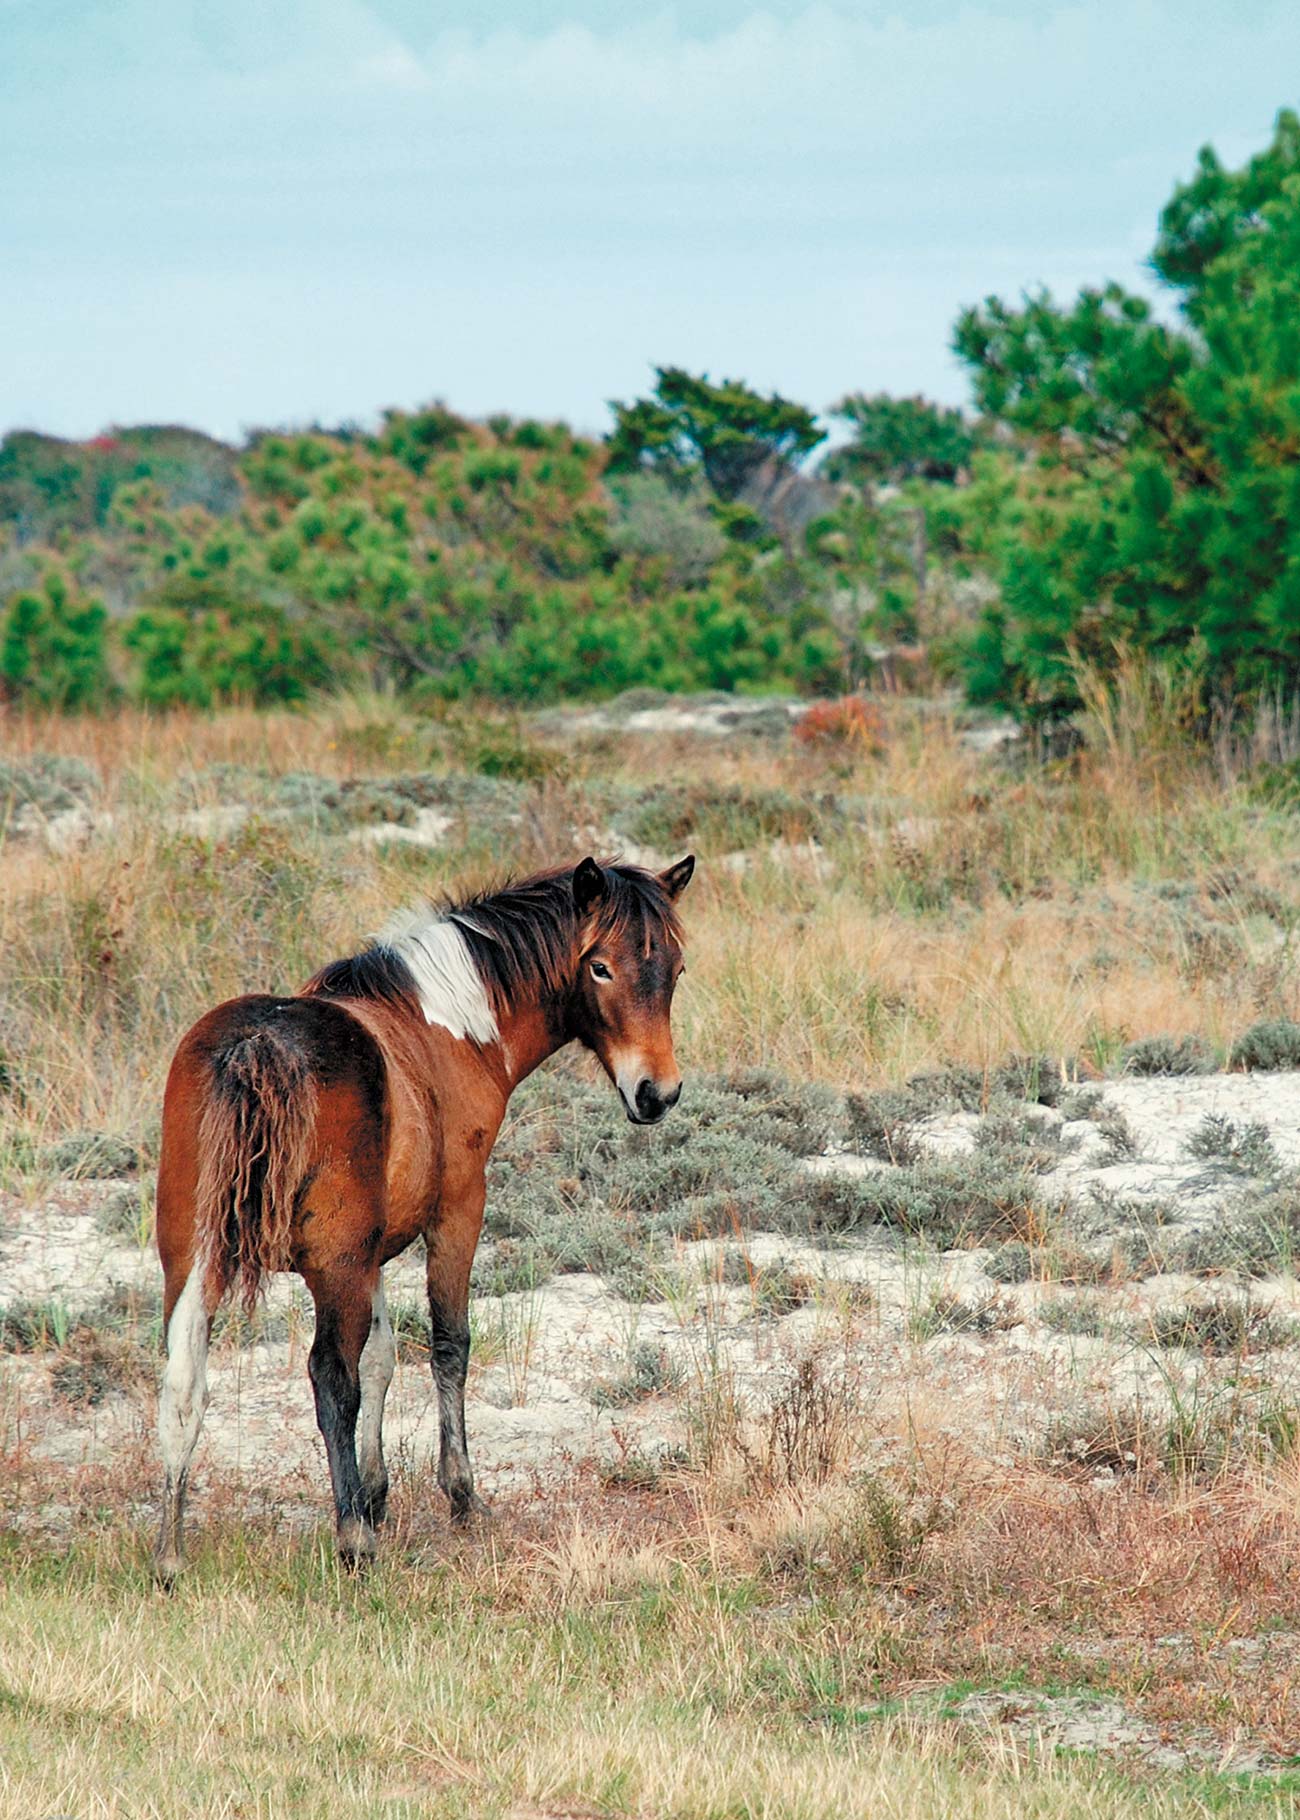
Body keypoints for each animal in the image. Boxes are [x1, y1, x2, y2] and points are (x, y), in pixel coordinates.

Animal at [150, 855, 688, 1579]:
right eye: (600, 967)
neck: (447, 1026)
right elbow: (447, 1346)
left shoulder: (373, 1251)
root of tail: (255, 1047)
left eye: (676, 969)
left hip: (197, 1259)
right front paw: (459, 1495)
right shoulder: (457, 1212)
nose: (657, 1094)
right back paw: (352, 1540)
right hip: (333, 1266)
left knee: (185, 1381)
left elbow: (382, 1358)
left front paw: (376, 1493)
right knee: (330, 1378)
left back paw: (171, 1555)